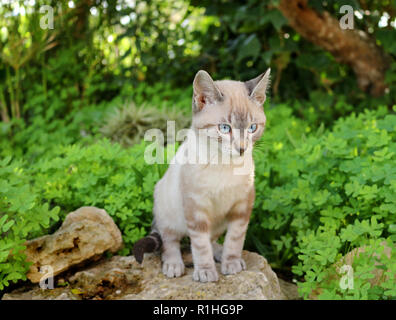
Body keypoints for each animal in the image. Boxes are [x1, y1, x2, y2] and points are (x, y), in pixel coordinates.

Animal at [135, 68, 270, 282]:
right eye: (225, 128)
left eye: (252, 128)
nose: (242, 149)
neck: (225, 164)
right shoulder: (195, 206)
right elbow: (199, 244)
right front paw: (206, 271)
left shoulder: (243, 204)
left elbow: (235, 238)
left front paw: (231, 263)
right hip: (166, 207)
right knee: (169, 240)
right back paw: (173, 265)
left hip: (218, 222)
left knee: (211, 239)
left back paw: (220, 252)